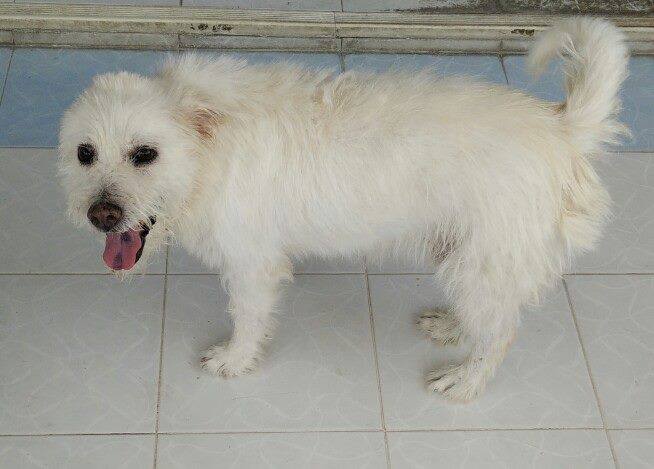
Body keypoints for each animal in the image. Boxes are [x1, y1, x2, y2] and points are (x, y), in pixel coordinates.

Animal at [58, 18, 628, 402]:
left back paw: (465, 382)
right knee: (488, 316)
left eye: (145, 154)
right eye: (85, 153)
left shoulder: (252, 265)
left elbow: (247, 319)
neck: (207, 153)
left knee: (501, 331)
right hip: (466, 255)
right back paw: (451, 328)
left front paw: (234, 360)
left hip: (483, 262)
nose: (102, 214)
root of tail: (560, 126)